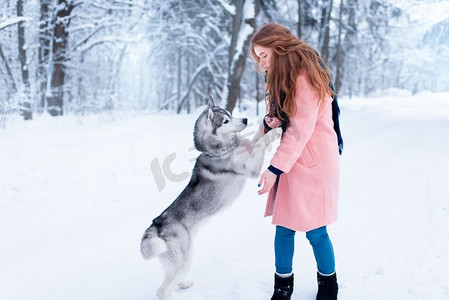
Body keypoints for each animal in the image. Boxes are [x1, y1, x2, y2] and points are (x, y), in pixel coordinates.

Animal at [142, 98, 278, 298]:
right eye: (225, 121)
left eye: (230, 114)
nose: (245, 119)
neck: (220, 149)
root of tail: (156, 224)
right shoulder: (250, 168)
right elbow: (261, 143)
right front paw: (276, 132)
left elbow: (258, 136)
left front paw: (267, 123)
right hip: (181, 259)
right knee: (162, 290)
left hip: (183, 257)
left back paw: (185, 284)